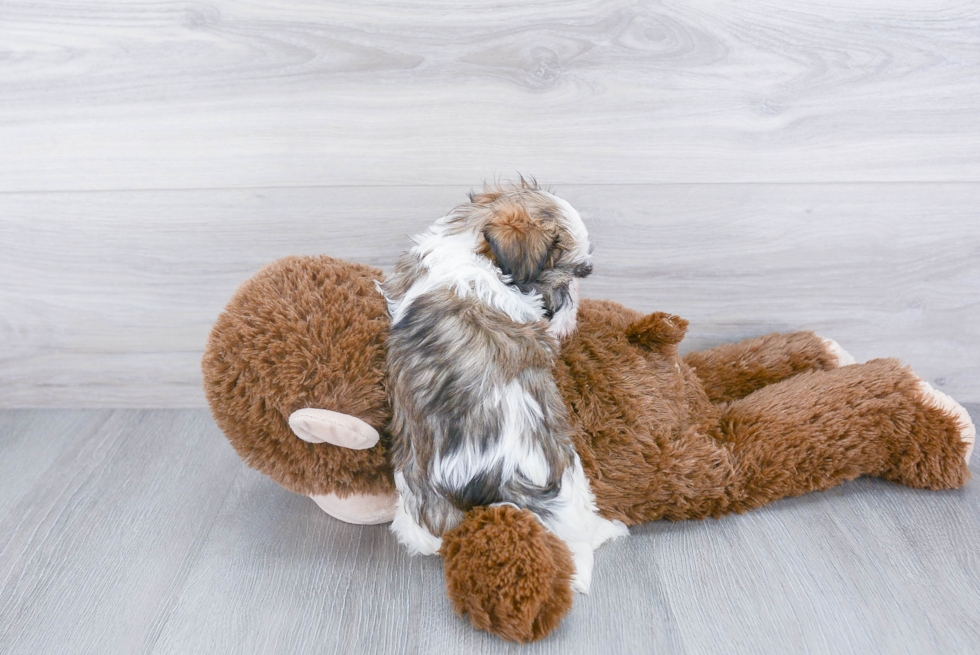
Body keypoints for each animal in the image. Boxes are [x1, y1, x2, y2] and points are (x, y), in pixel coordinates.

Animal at [382, 179, 628, 596]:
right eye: (568, 278)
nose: (574, 299)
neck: (468, 248)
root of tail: (497, 472)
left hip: (416, 486)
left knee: (425, 533)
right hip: (567, 469)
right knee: (577, 536)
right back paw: (603, 532)